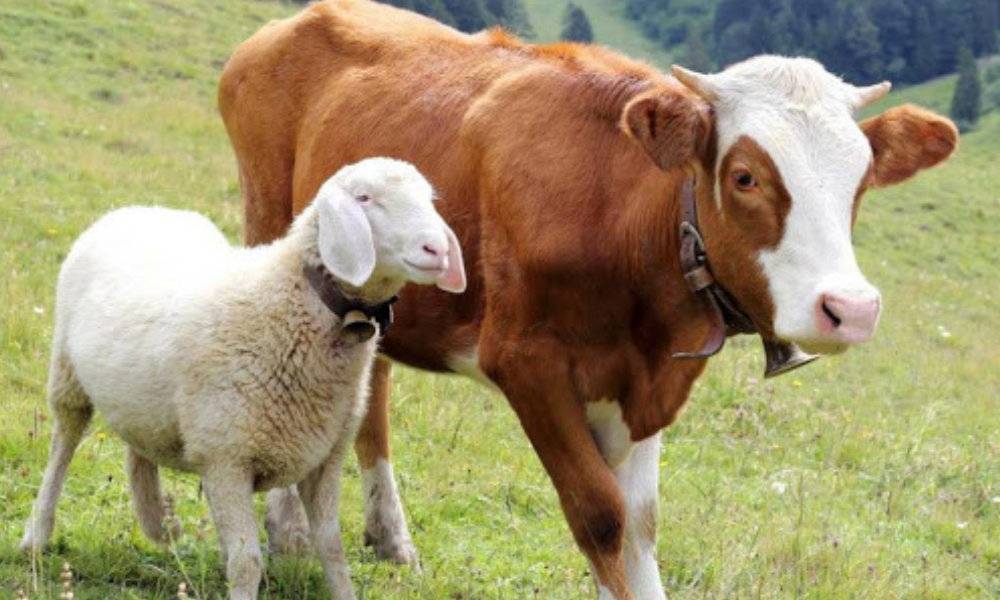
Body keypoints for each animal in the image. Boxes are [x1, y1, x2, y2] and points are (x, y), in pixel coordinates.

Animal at [20, 157, 467, 600]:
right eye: (364, 198)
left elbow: (332, 550)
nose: (438, 249)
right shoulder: (226, 459)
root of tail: (138, 209)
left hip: (145, 398)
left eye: (429, 200)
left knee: (138, 446)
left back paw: (159, 524)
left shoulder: (323, 458)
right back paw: (37, 535)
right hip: (67, 376)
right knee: (63, 446)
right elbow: (247, 561)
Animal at [218, 1, 958, 598]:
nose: (851, 309)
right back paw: (288, 529)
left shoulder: (651, 379)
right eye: (745, 176)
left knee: (374, 389)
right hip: (271, 220)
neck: (621, 213)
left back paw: (391, 537)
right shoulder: (527, 364)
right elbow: (600, 514)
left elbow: (643, 523)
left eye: (861, 180)